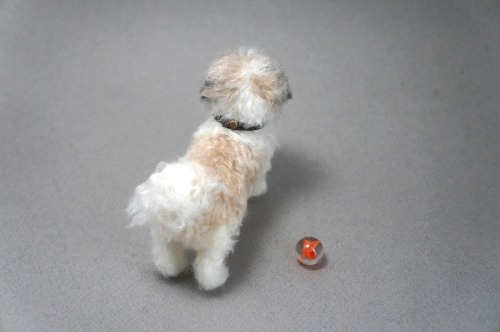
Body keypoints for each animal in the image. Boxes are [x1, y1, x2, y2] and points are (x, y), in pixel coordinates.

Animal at [127, 47, 292, 290]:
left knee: (166, 257)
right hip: (216, 242)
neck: (235, 126)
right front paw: (260, 191)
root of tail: (184, 209)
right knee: (207, 267)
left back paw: (172, 270)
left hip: (164, 235)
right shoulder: (263, 164)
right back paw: (217, 280)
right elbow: (260, 181)